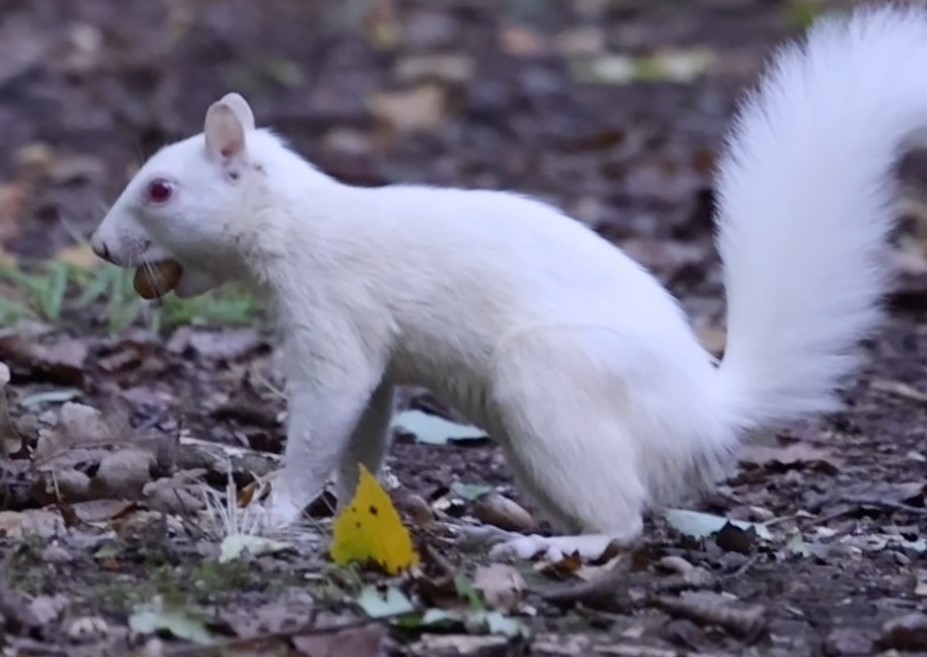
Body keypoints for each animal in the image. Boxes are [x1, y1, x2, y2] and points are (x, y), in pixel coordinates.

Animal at [91, 4, 922, 561]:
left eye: (160, 190)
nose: (99, 246)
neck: (299, 222)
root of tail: (707, 417)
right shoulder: (375, 357)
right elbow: (364, 434)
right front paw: (358, 510)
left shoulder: (333, 316)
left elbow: (327, 412)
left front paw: (275, 509)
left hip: (551, 378)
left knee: (623, 520)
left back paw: (555, 548)